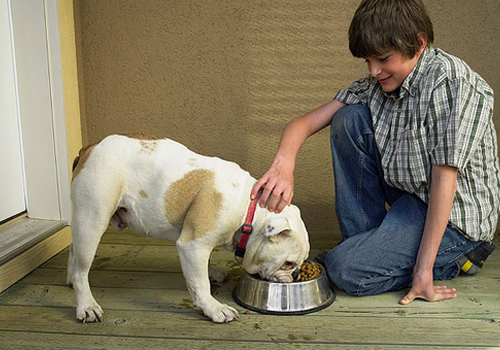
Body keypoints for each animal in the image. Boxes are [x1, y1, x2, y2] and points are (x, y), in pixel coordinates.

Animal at [66, 133, 308, 322]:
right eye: (289, 263)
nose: (296, 273)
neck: (248, 210)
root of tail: (90, 147)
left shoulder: (197, 245)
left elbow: (200, 269)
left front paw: (211, 273)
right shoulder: (193, 244)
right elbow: (200, 285)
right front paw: (213, 308)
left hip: (85, 222)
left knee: (74, 252)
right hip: (93, 219)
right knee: (82, 268)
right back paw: (86, 305)